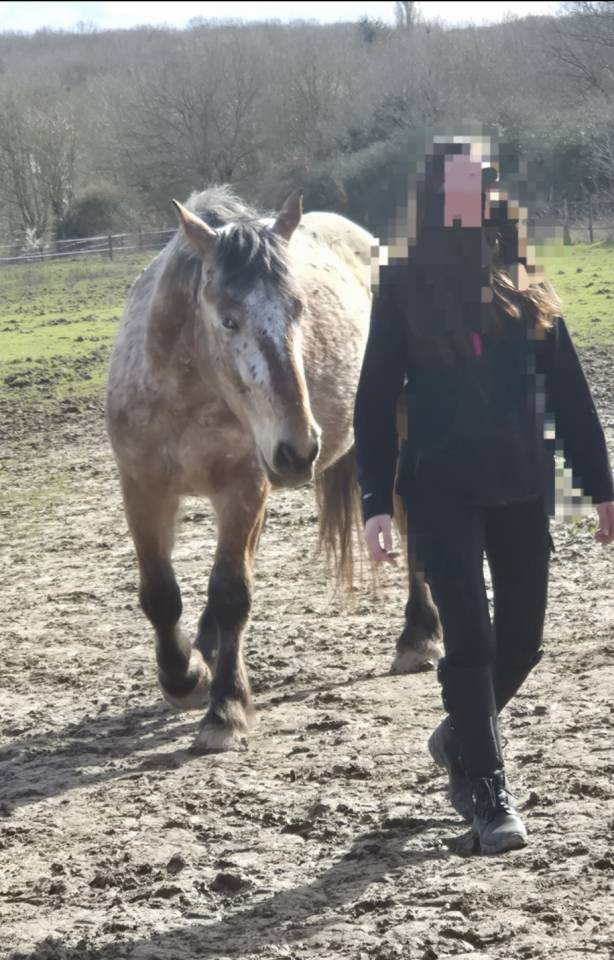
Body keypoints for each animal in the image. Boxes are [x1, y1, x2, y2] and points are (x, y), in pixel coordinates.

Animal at [106, 185, 443, 751]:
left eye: (299, 309)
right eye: (227, 319)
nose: (300, 447)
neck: (188, 395)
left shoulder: (243, 489)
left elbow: (231, 594)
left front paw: (225, 709)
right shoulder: (144, 489)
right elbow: (160, 595)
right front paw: (185, 676)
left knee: (413, 525)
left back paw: (420, 635)